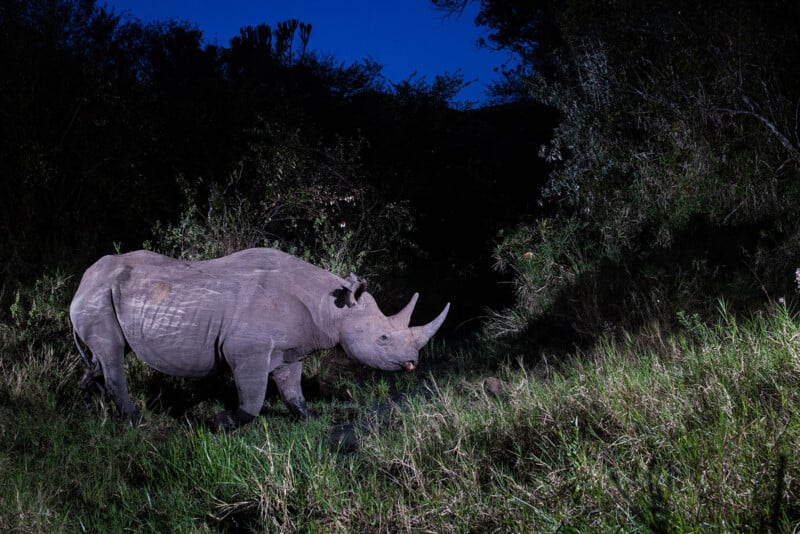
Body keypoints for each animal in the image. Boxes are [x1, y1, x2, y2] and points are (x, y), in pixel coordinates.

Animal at [69, 247, 449, 428]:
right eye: (383, 337)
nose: (412, 363)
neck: (332, 306)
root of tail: (83, 279)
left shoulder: (290, 351)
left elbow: (292, 391)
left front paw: (308, 420)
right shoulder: (247, 350)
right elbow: (252, 401)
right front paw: (220, 423)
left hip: (104, 294)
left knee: (105, 357)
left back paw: (85, 402)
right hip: (98, 296)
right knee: (113, 354)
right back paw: (135, 420)